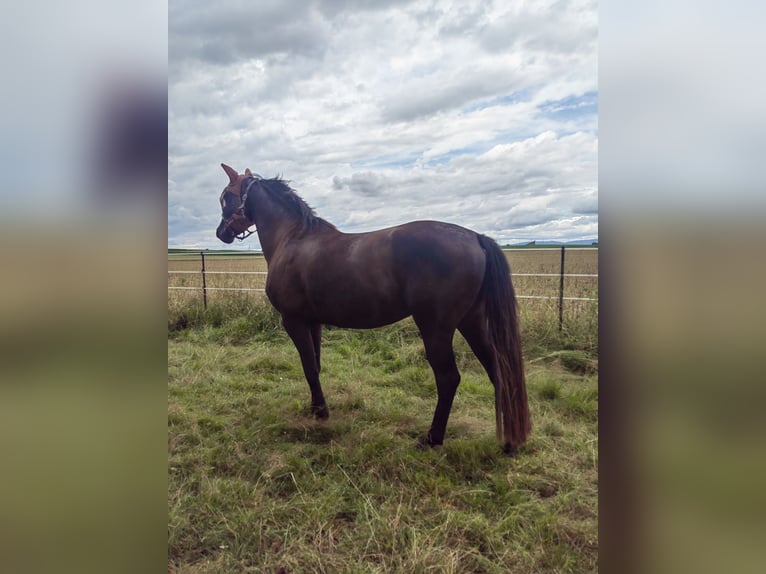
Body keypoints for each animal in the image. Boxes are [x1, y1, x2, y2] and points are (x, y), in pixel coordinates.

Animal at [213, 162, 532, 454]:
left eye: (225, 197)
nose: (220, 233)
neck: (292, 239)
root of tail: (475, 237)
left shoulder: (294, 321)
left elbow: (308, 367)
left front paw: (320, 411)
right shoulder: (312, 322)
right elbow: (315, 365)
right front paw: (318, 408)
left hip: (437, 328)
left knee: (448, 378)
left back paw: (432, 438)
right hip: (472, 321)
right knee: (498, 370)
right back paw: (508, 442)